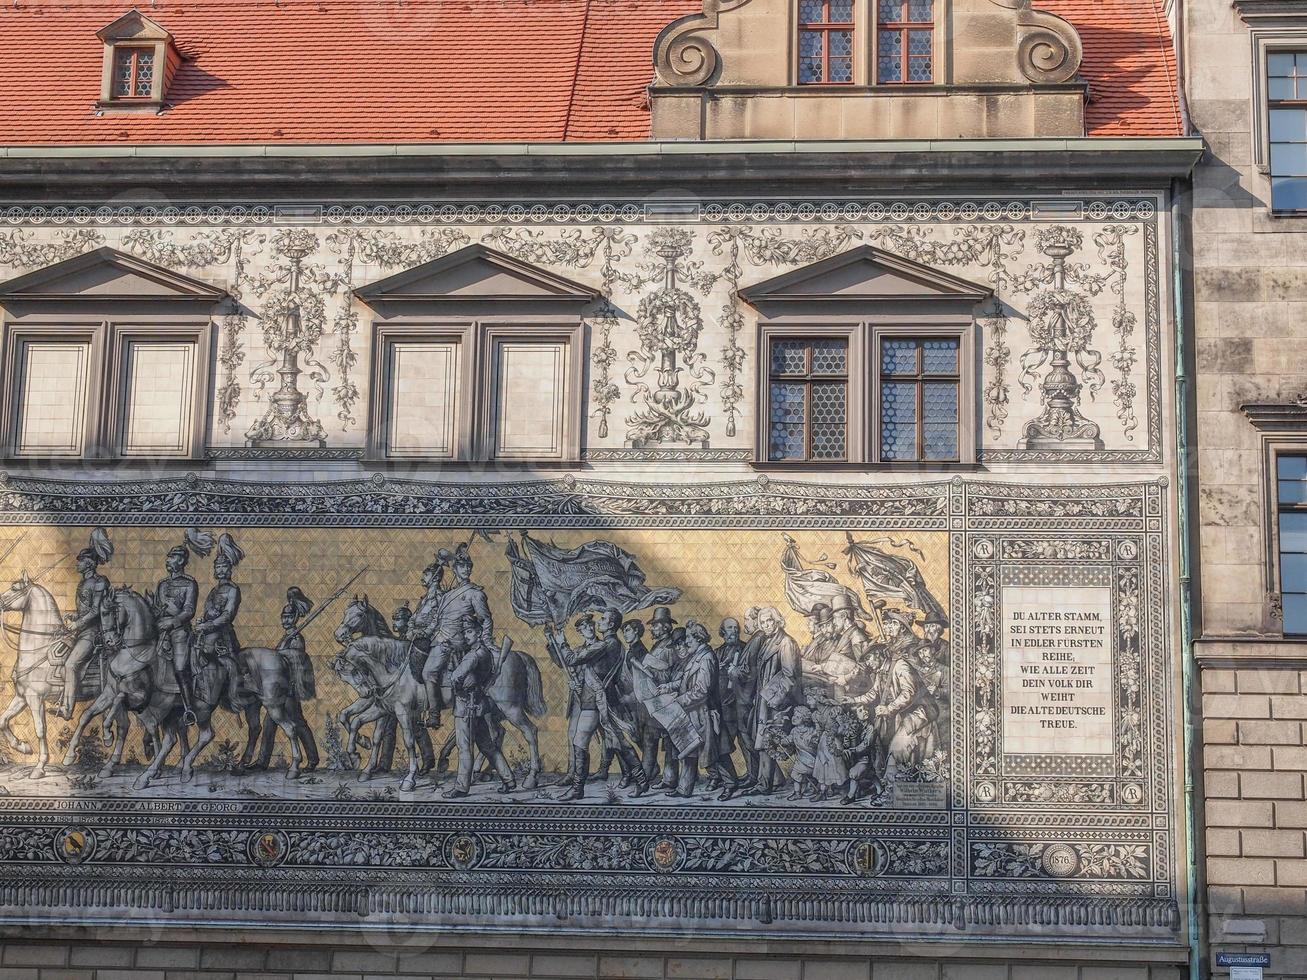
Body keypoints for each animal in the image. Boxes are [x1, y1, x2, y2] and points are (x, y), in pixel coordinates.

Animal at [337, 595, 546, 794]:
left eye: (358, 614)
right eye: (345, 612)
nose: (339, 634)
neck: (395, 666)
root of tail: (517, 655)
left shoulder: (401, 712)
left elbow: (406, 741)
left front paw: (408, 779)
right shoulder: (383, 708)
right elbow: (355, 722)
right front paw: (356, 756)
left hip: (510, 708)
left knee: (529, 731)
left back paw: (530, 778)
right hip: (493, 710)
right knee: (497, 734)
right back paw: (480, 773)